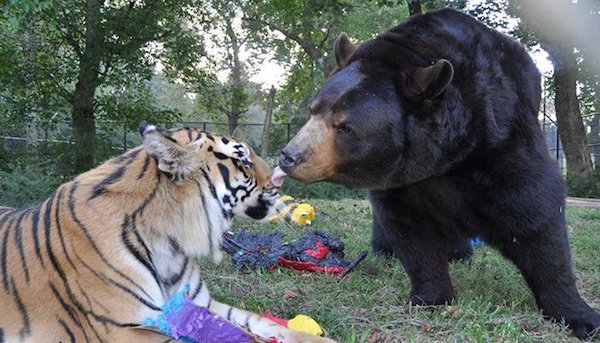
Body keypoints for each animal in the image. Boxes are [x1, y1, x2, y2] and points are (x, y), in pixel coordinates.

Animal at [0, 122, 338, 342]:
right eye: (242, 158)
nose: (281, 178)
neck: (171, 243)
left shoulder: (201, 305)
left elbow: (257, 323)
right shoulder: (124, 328)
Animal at [276, 8, 600, 342]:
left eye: (344, 126)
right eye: (314, 110)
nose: (289, 155)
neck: (445, 157)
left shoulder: (502, 138)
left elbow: (535, 215)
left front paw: (580, 316)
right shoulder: (401, 179)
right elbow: (411, 230)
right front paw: (431, 296)